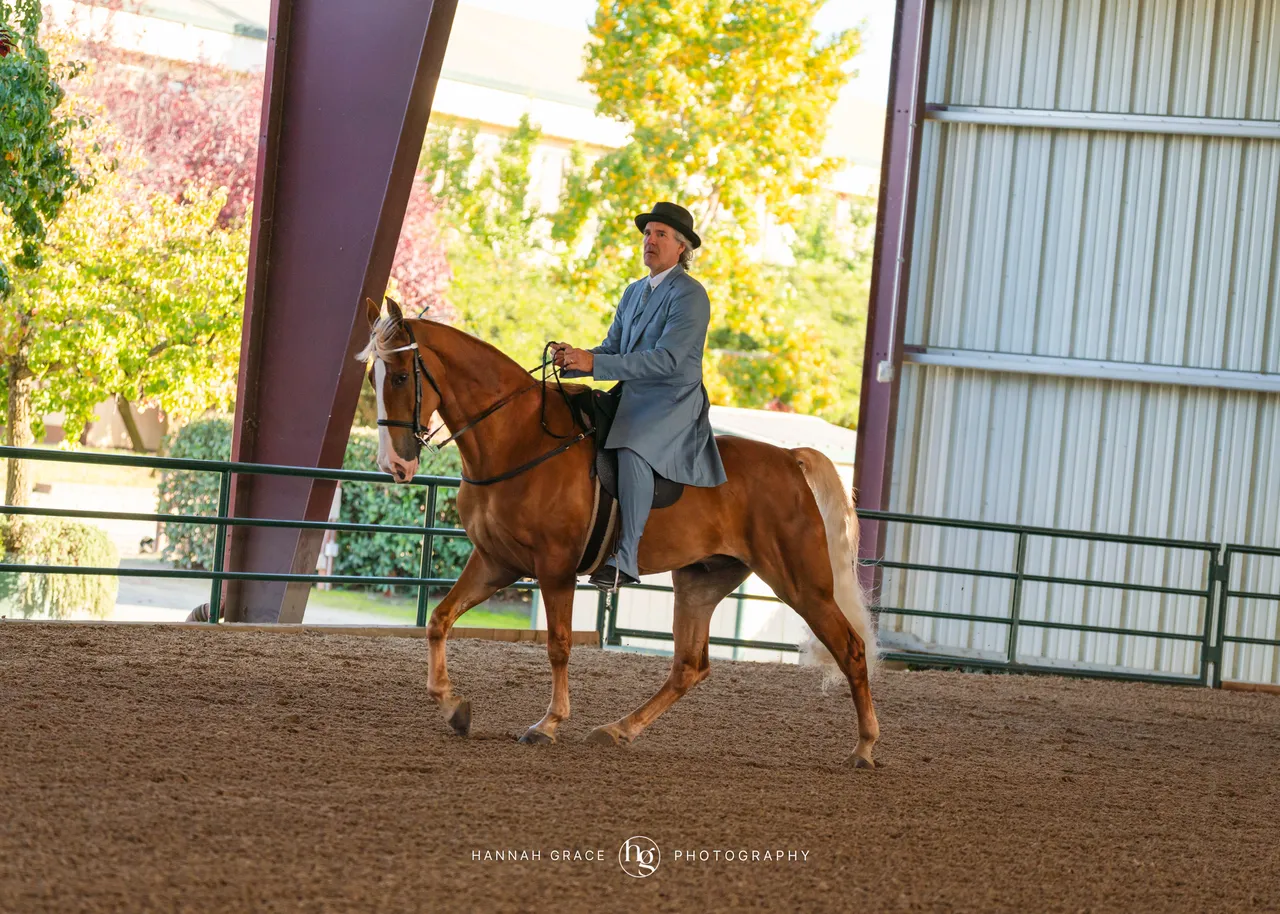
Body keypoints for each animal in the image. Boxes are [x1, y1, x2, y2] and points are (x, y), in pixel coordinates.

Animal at [357, 297, 880, 768]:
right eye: (373, 379)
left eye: (400, 376)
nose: (394, 464)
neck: (518, 439)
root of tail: (789, 459)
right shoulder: (495, 562)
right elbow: (439, 619)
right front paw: (453, 707)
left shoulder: (555, 568)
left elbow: (559, 645)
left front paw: (548, 724)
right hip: (701, 581)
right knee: (689, 667)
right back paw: (617, 730)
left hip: (801, 584)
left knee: (851, 649)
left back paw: (864, 748)